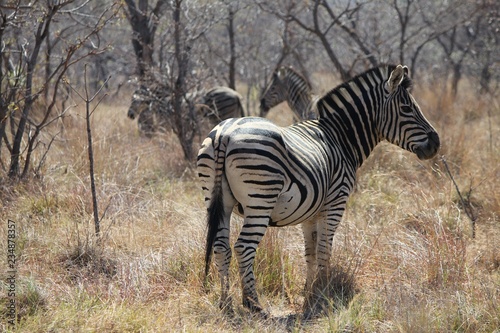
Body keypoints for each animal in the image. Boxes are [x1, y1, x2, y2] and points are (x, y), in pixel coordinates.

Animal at [197, 64, 440, 314]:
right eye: (407, 108)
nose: (436, 143)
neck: (341, 137)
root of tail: (225, 134)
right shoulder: (335, 203)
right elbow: (324, 249)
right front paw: (324, 291)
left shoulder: (310, 211)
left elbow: (310, 251)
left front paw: (309, 290)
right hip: (260, 200)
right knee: (243, 247)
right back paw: (253, 303)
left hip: (218, 200)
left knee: (221, 247)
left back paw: (226, 302)